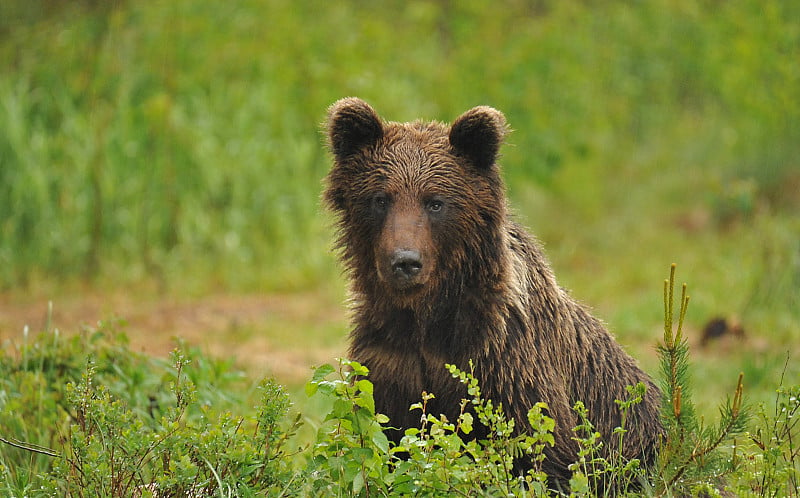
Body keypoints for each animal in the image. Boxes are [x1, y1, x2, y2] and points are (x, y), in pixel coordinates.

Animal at [322, 97, 660, 486]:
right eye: (380, 199)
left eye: (435, 202)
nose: (405, 262)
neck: (427, 315)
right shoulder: (389, 361)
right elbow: (389, 437)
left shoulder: (503, 358)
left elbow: (543, 447)